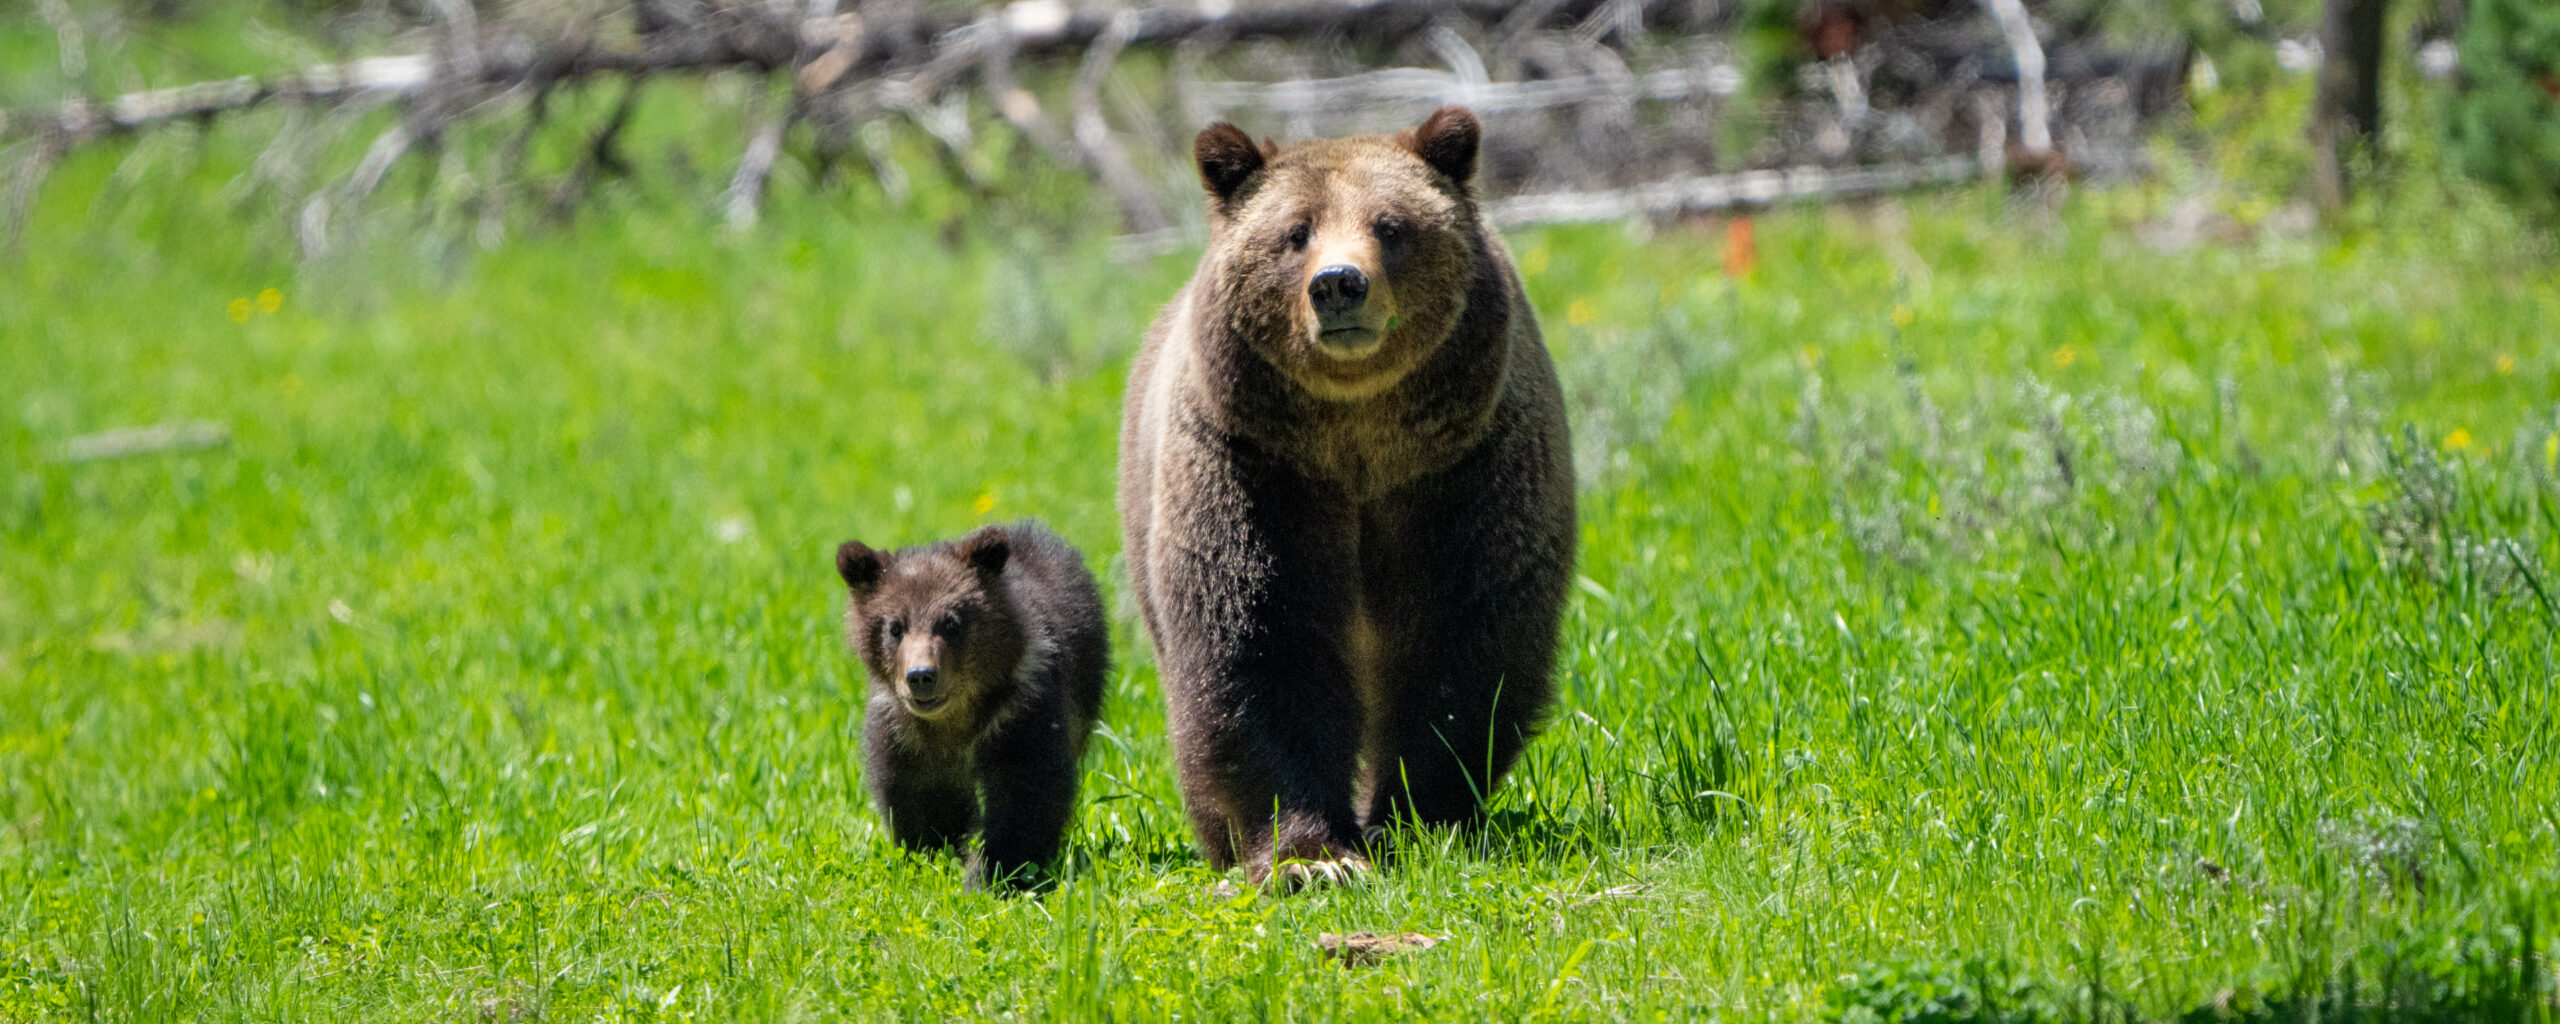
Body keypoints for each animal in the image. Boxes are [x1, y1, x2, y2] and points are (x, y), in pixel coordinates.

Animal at [833, 520, 1108, 890]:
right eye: (894, 627)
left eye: (951, 622)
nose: (921, 675)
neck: (955, 721)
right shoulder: (905, 735)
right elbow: (923, 799)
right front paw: (934, 855)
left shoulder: (1019, 713)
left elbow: (1025, 795)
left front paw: (992, 874)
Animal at [1116, 106, 1576, 884]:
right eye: (1294, 232)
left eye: (1391, 225)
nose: (1338, 283)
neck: (1357, 438)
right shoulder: (1259, 473)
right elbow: (1260, 644)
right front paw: (1311, 856)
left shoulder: (1462, 470)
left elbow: (1459, 640)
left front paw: (1414, 819)